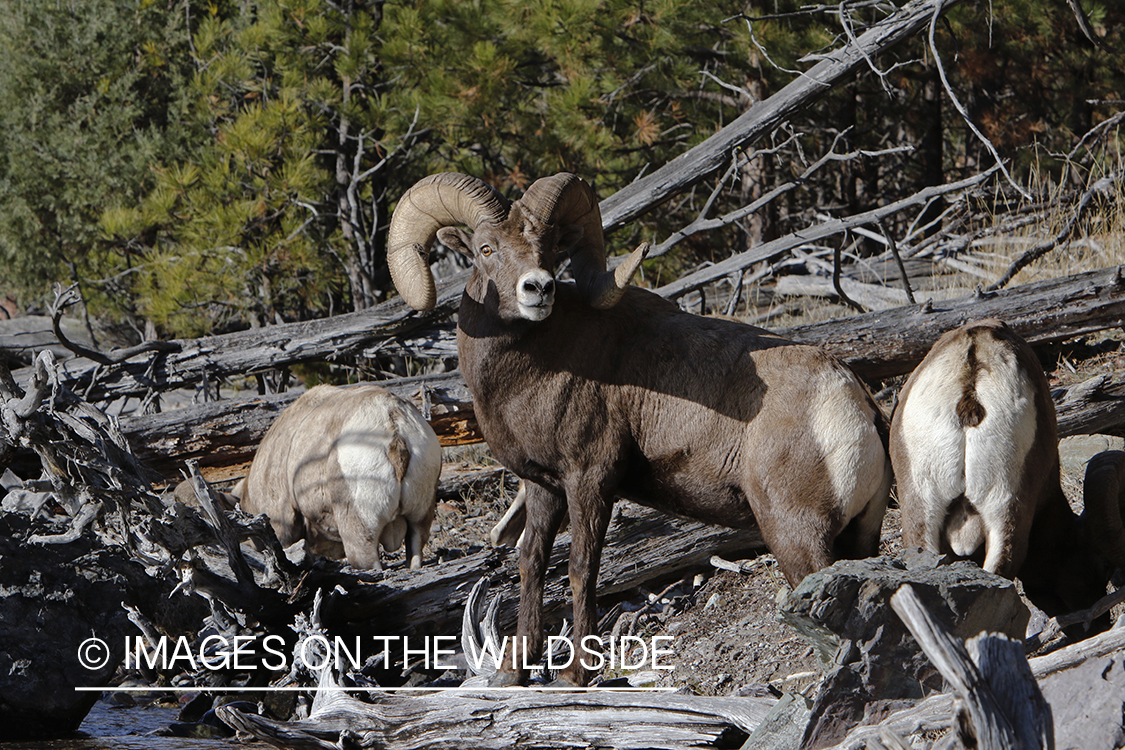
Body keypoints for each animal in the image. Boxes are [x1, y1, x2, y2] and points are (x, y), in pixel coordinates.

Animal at [391, 172, 891, 688]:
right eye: (486, 248)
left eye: (549, 248)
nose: (538, 289)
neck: (531, 368)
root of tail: (854, 404)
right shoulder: (543, 486)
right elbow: (532, 563)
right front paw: (514, 673)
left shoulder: (590, 480)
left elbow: (582, 569)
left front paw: (575, 675)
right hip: (857, 537)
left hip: (795, 534)